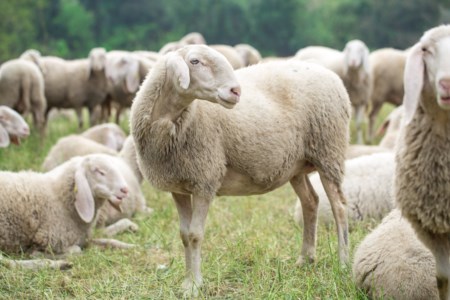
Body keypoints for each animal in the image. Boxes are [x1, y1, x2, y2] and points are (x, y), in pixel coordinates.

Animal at [0, 152, 129, 260]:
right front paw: (36, 254)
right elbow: (76, 250)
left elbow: (109, 241)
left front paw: (129, 245)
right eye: (99, 171)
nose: (125, 190)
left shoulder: (84, 239)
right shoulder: (50, 240)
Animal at [130, 44, 352, 296]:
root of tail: (332, 76)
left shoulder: (205, 179)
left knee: (339, 208)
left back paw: (343, 263)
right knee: (311, 201)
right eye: (194, 61)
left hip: (329, 152)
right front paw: (187, 283)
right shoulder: (179, 186)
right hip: (295, 165)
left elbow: (195, 235)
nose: (235, 91)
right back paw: (306, 259)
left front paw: (195, 285)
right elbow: (184, 235)